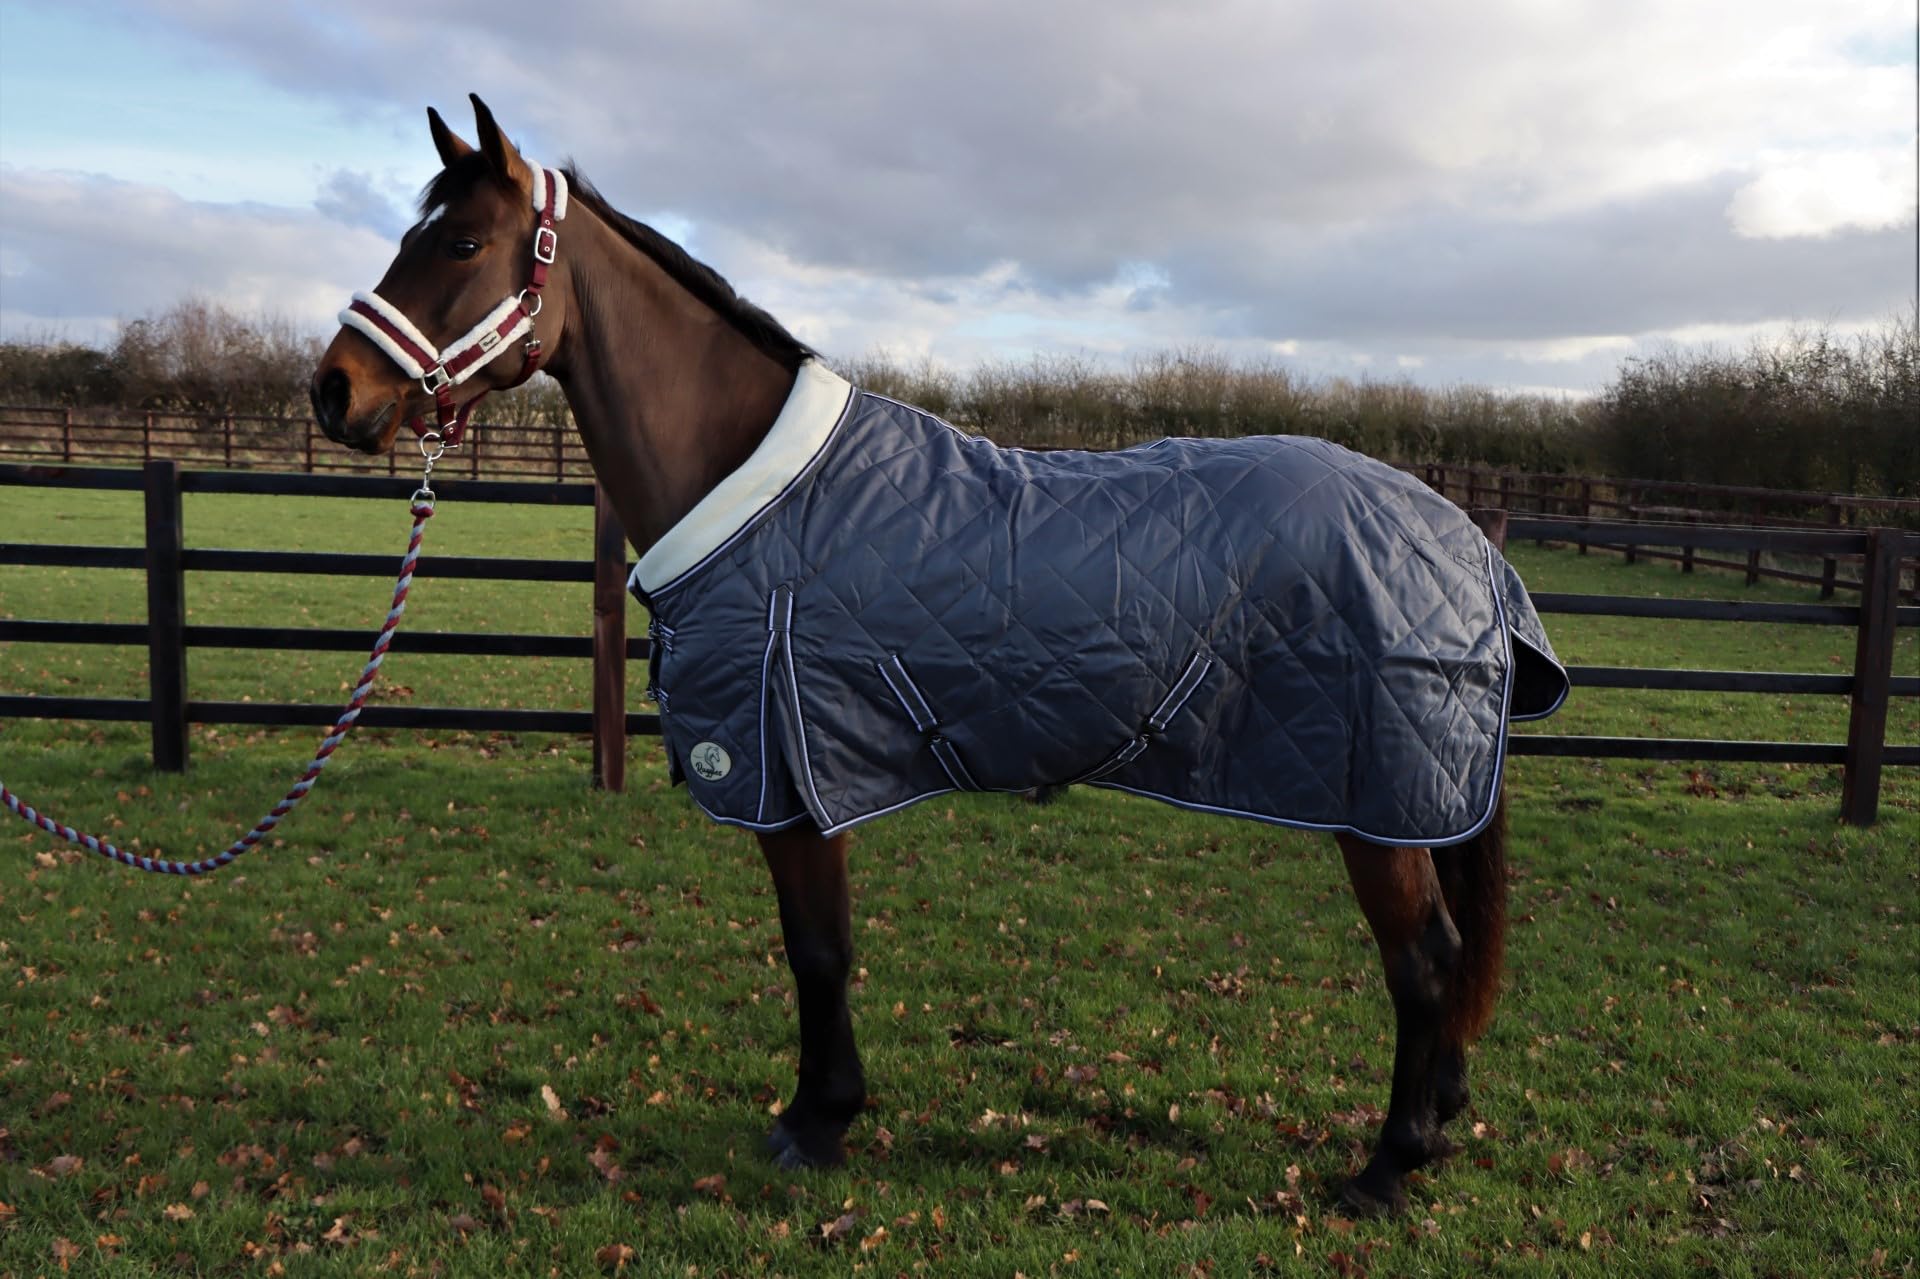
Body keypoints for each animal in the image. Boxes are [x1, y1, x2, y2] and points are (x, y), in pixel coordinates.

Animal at [310, 95, 1567, 1216]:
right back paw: (1439, 1115)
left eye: (461, 243)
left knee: (1426, 960)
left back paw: (1390, 1165)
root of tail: (1461, 537)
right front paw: (821, 1110)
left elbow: (817, 950)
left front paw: (818, 1121)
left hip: (1380, 801)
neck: (755, 486)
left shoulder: (790, 778)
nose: (334, 390)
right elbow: (821, 949)